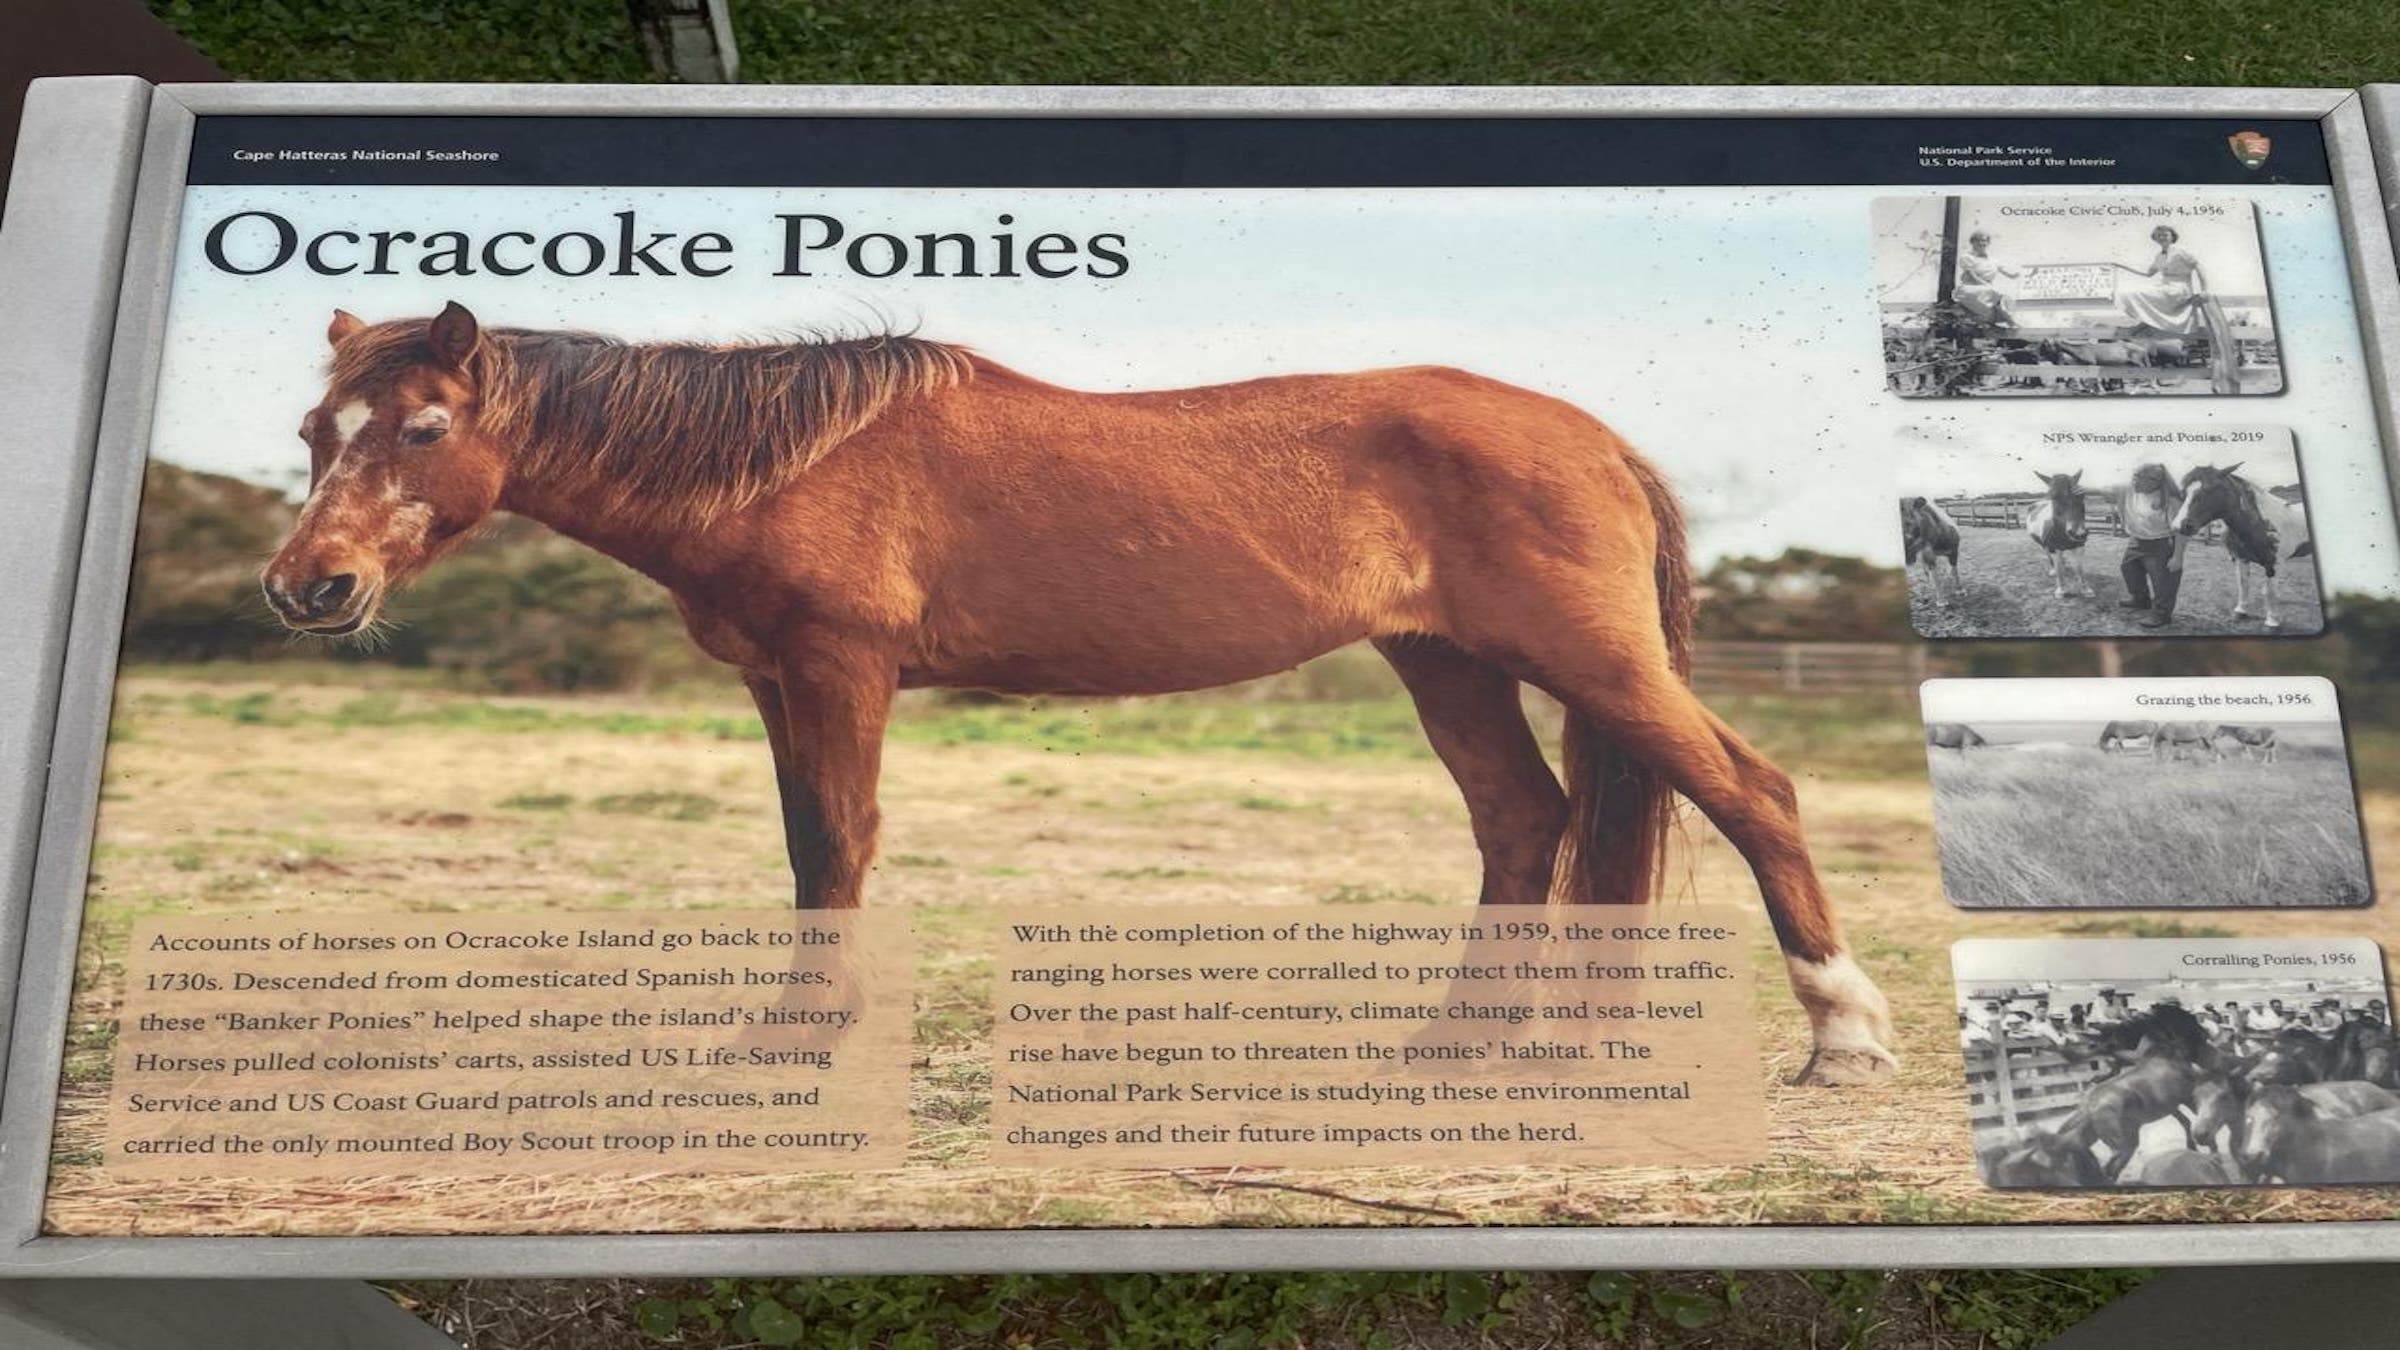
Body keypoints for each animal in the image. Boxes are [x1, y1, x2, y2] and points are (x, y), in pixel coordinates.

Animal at [257, 304, 1897, 1085]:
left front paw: (804, 1039)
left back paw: (1843, 1038)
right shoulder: (783, 685)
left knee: (1750, 791)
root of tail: (1595, 435)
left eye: (420, 426)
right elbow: (806, 853)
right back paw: (1463, 1046)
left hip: (1590, 658)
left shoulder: (841, 668)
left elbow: (838, 844)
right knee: (1525, 821)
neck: (790, 458)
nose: (307, 587)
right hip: (1450, 662)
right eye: (313, 430)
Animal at [2023, 470, 2091, 599]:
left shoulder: (2080, 547)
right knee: (2050, 557)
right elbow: (2059, 569)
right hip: (2044, 545)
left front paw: (2086, 590)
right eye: (2054, 498)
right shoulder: (2053, 548)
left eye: (2082, 495)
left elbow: (2080, 568)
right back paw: (2053, 570)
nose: (2078, 533)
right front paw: (2061, 590)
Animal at [2174, 463, 2315, 630]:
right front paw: (2240, 611)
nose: (2179, 526)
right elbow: (2243, 584)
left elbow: (2270, 592)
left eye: (2210, 489)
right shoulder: (2241, 558)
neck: (2260, 523)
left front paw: (2271, 622)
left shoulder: (2274, 564)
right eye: (2183, 492)